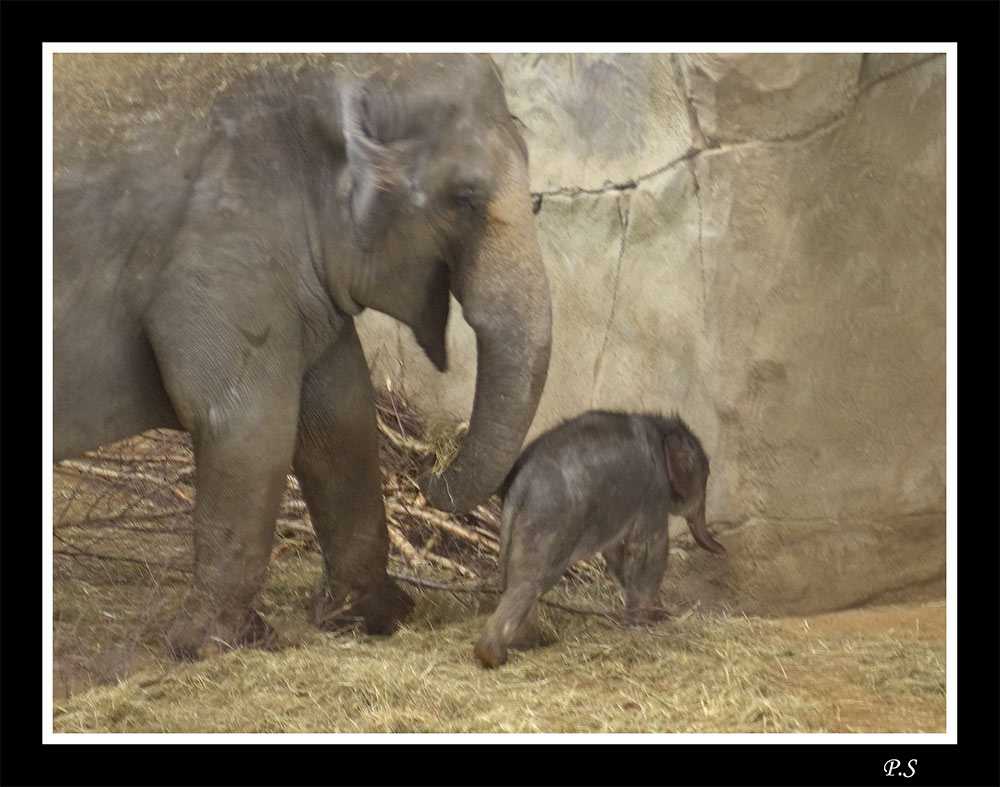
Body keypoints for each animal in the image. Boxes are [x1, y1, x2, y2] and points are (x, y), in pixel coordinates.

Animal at [52, 53, 556, 660]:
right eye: (464, 198)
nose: (427, 476)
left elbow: (341, 413)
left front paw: (373, 617)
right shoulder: (225, 243)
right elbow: (249, 424)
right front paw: (216, 646)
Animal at [472, 410, 724, 668]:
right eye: (704, 480)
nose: (722, 551)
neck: (659, 425)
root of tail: (518, 486)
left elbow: (615, 552)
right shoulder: (654, 490)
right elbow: (646, 547)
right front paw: (652, 620)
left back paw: (529, 644)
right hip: (548, 524)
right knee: (530, 582)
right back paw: (492, 656)